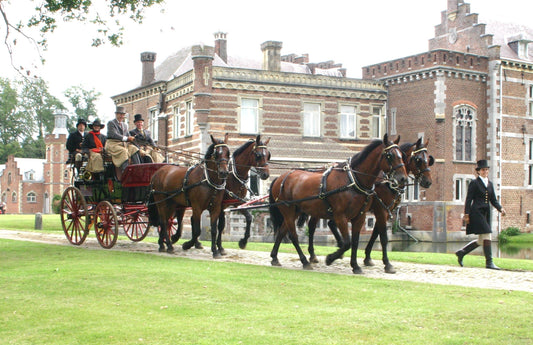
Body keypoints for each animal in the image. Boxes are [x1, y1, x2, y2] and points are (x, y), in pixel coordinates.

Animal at [268, 133, 406, 272]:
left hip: (295, 211)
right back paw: (305, 261)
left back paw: (275, 258)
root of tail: (280, 178)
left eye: (402, 154)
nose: (403, 178)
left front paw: (355, 265)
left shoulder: (360, 217)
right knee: (293, 236)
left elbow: (355, 242)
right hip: (288, 211)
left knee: (282, 232)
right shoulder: (341, 216)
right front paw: (330, 258)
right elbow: (347, 243)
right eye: (390, 155)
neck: (353, 180)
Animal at [304, 136, 432, 272]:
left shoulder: (384, 212)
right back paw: (313, 255)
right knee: (312, 226)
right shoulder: (381, 210)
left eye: (428, 159)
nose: (428, 181)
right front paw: (387, 264)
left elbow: (375, 234)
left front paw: (367, 258)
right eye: (418, 159)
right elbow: (383, 237)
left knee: (329, 224)